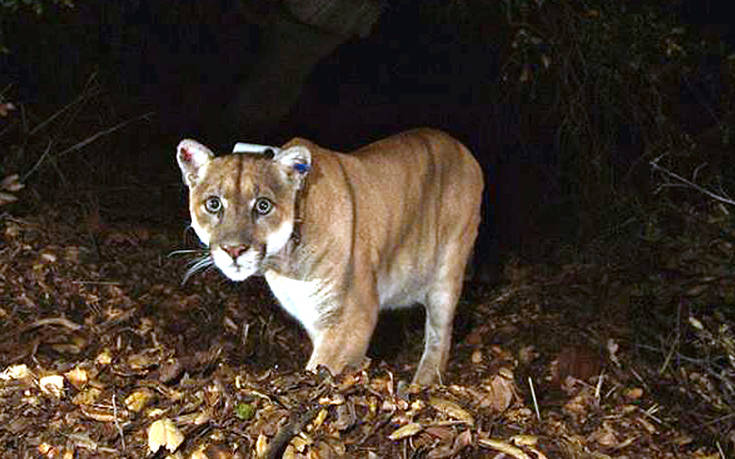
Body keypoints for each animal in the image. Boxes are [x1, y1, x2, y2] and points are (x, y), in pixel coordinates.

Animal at [178, 128, 484, 384]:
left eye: (263, 206)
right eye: (214, 204)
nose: (234, 250)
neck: (285, 265)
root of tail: (462, 147)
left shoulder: (352, 316)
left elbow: (321, 367)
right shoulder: (316, 317)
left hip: (447, 272)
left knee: (439, 336)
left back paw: (422, 383)